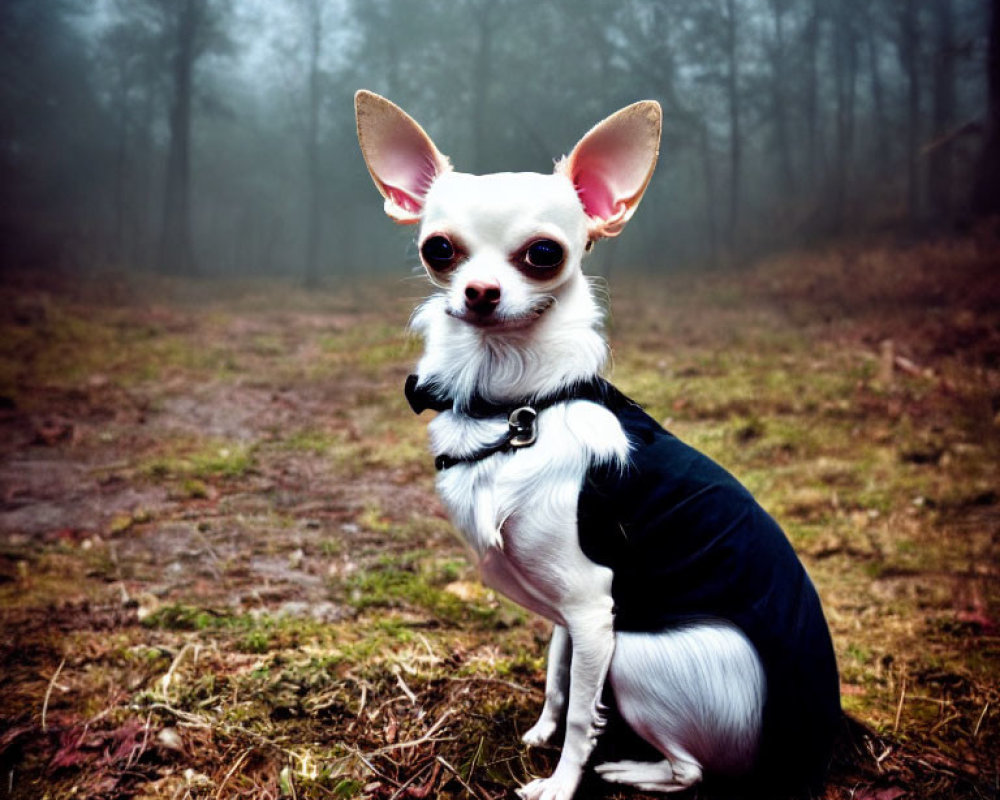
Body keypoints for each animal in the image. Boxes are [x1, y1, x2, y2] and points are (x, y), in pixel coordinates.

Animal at [356, 92, 840, 800]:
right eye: (439, 249)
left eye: (543, 254)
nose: (480, 292)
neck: (519, 406)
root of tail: (823, 749)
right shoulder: (572, 614)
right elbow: (559, 678)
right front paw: (541, 733)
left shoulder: (592, 605)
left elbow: (586, 712)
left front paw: (561, 782)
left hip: (639, 650)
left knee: (691, 770)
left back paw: (632, 767)